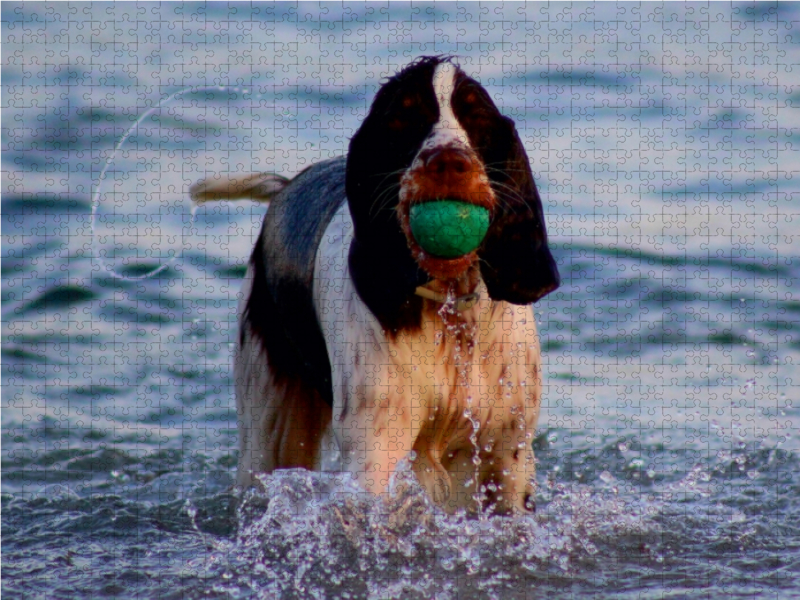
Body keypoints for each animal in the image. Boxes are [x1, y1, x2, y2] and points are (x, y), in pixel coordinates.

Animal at [192, 57, 556, 516]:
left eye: (476, 119)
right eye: (402, 118)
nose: (448, 162)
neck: (450, 309)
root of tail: (287, 185)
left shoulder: (506, 450)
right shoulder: (375, 448)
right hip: (266, 426)